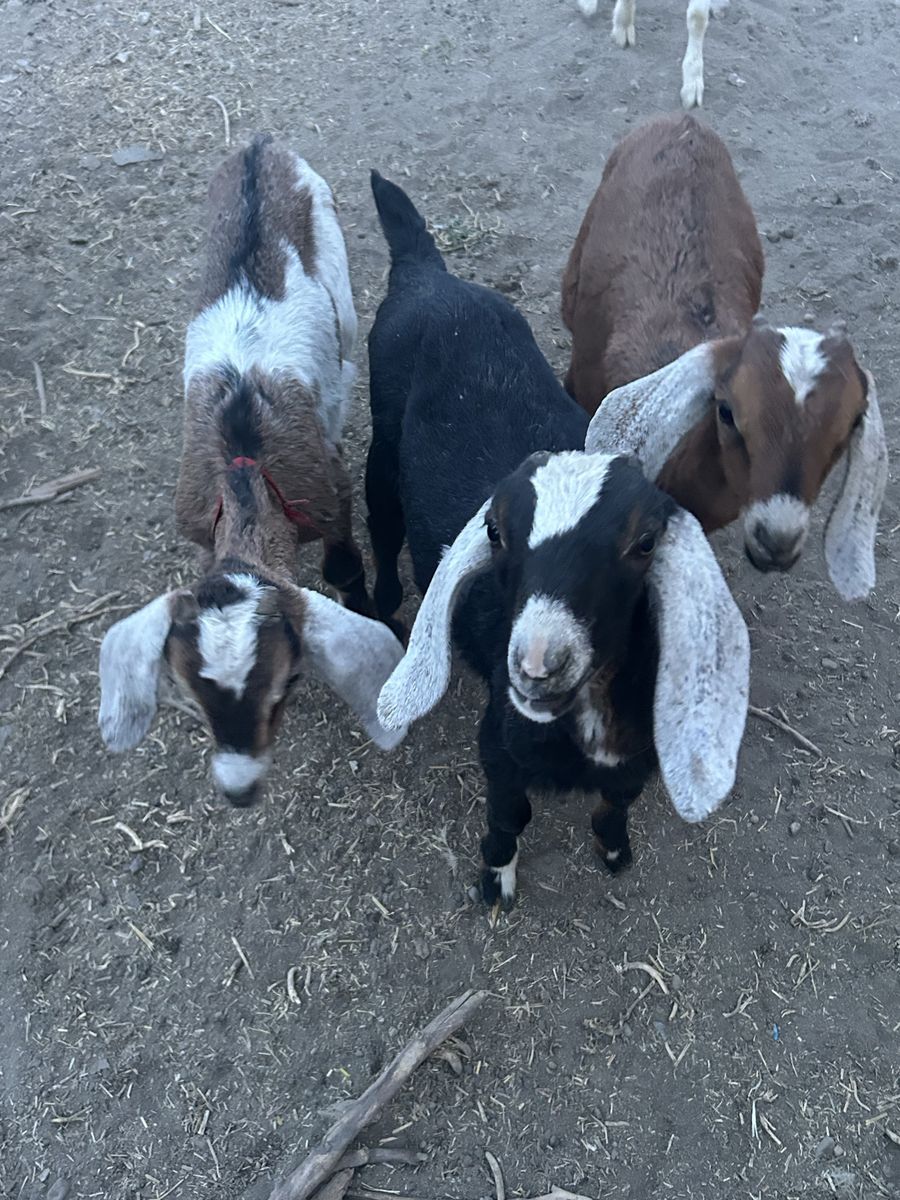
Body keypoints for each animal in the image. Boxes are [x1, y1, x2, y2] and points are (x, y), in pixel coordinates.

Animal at [99, 136, 406, 804]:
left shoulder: (327, 491)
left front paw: (371, 610)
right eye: (189, 696)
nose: (240, 789)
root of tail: (258, 148)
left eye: (286, 685)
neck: (246, 474)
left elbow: (345, 565)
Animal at [366, 171, 749, 907]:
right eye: (494, 530)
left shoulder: (636, 754)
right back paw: (381, 607)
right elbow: (508, 814)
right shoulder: (501, 746)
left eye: (645, 543)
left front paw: (614, 849)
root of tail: (428, 274)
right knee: (377, 522)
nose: (538, 663)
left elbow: (617, 801)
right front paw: (496, 880)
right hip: (379, 446)